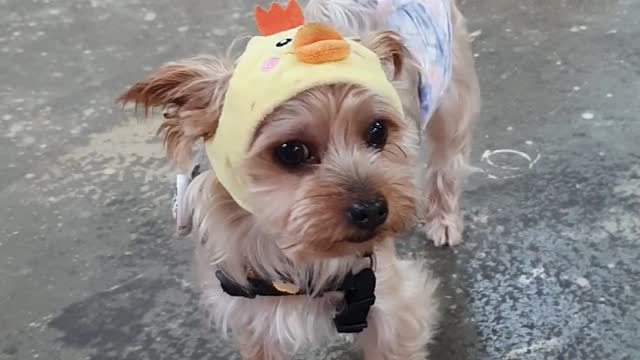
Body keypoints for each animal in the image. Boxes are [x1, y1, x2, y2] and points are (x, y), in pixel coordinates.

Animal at [119, 0, 480, 358]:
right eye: (291, 151)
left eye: (378, 131)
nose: (373, 210)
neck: (293, 255)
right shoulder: (251, 318)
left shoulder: (397, 308)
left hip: (449, 95)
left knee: (447, 161)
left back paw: (444, 219)